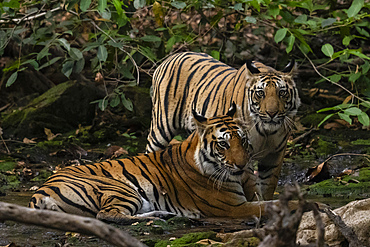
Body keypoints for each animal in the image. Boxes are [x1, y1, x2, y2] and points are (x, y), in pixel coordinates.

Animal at [29, 104, 290, 224]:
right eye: (223, 144)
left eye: (243, 141)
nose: (242, 166)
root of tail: (39, 192)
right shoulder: (233, 207)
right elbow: (272, 205)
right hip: (120, 188)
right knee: (108, 215)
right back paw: (159, 217)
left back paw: (164, 214)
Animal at [145, 52, 300, 201]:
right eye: (260, 93)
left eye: (282, 93)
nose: (272, 113)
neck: (267, 131)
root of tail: (167, 60)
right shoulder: (244, 154)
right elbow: (252, 188)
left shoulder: (274, 155)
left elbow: (268, 186)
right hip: (160, 130)